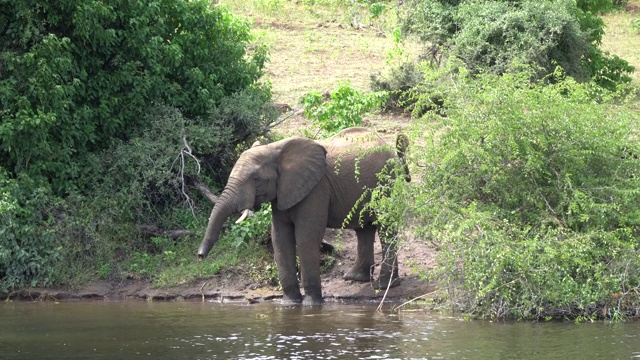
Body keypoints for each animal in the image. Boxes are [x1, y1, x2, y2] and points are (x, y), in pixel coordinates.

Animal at [195, 126, 412, 304]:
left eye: (256, 179)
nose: (200, 256)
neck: (275, 150)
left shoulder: (316, 189)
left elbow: (306, 237)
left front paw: (311, 305)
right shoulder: (283, 193)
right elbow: (280, 238)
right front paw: (290, 304)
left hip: (386, 183)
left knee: (386, 228)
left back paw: (383, 286)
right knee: (364, 229)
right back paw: (356, 278)